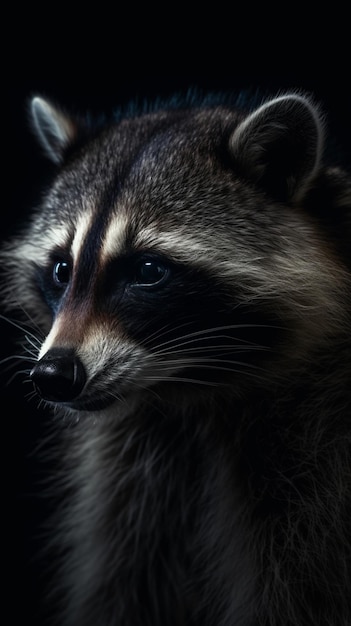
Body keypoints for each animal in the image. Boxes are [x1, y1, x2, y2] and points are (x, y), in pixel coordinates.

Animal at [2, 89, 351, 624]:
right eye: (62, 269)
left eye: (148, 270)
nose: (54, 374)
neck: (194, 387)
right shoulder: (136, 473)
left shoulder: (314, 460)